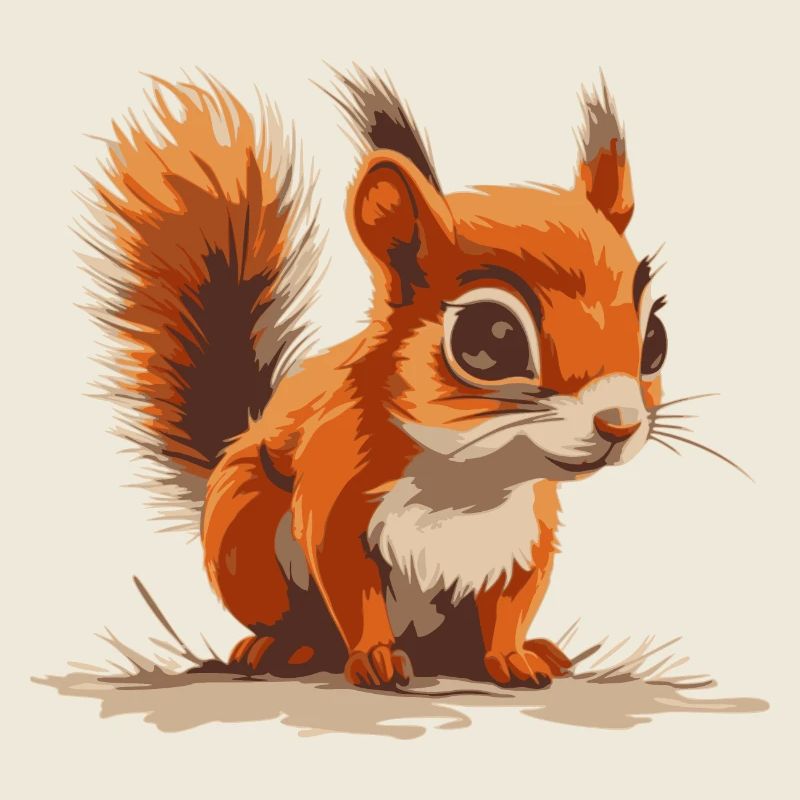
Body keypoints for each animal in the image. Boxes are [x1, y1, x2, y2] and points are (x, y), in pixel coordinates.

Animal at [79, 67, 668, 689]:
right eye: (491, 340)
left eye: (655, 338)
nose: (619, 424)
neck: (471, 477)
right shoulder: (334, 503)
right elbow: (353, 591)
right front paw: (376, 657)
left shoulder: (528, 535)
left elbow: (513, 602)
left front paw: (512, 654)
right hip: (243, 529)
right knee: (295, 619)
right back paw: (285, 648)